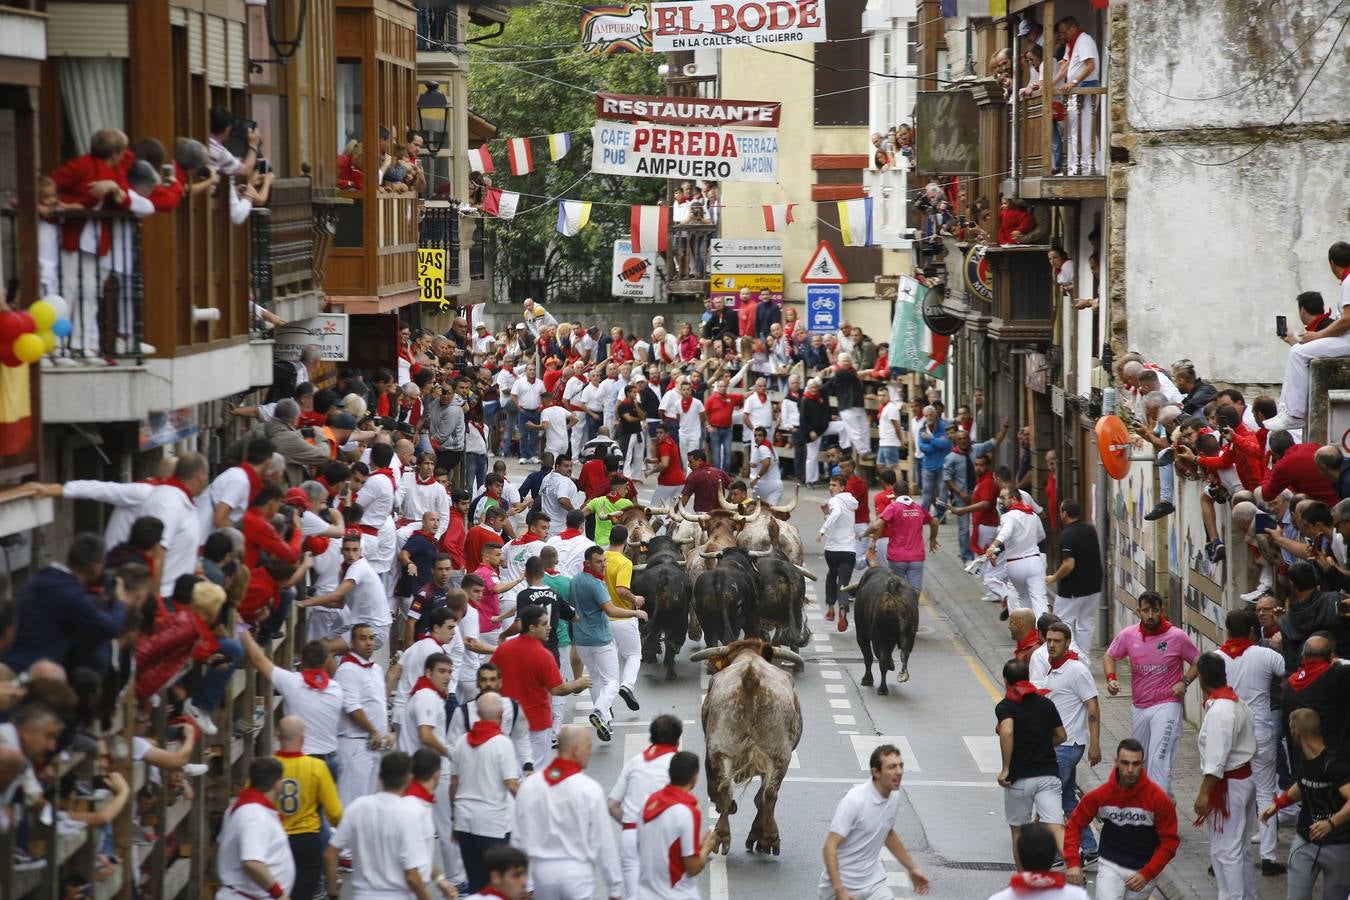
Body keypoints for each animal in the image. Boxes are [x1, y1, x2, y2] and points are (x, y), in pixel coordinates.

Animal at [631, 539, 691, 680]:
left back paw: (650, 657)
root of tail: (665, 577)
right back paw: (670, 671)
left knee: (651, 636)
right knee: (673, 641)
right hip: (680, 619)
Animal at [696, 636, 799, 858]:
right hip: (779, 756)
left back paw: (723, 834)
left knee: (729, 789)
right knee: (768, 794)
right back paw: (768, 837)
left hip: (721, 749)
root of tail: (751, 675)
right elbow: (760, 797)